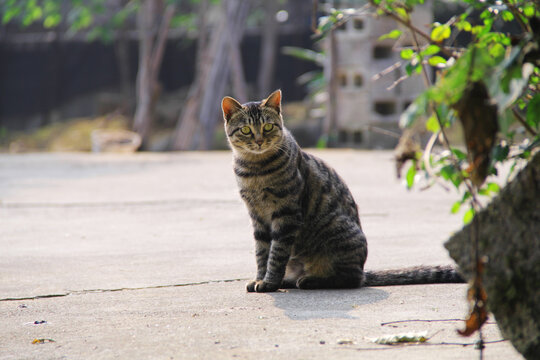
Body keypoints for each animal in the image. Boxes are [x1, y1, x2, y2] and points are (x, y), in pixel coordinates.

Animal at [221, 90, 462, 292]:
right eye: (246, 130)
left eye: (268, 127)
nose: (259, 141)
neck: (255, 169)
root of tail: (364, 270)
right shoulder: (258, 217)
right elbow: (262, 252)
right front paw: (260, 278)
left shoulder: (286, 214)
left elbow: (276, 253)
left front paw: (269, 282)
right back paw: (290, 279)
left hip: (337, 231)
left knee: (349, 279)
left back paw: (310, 280)